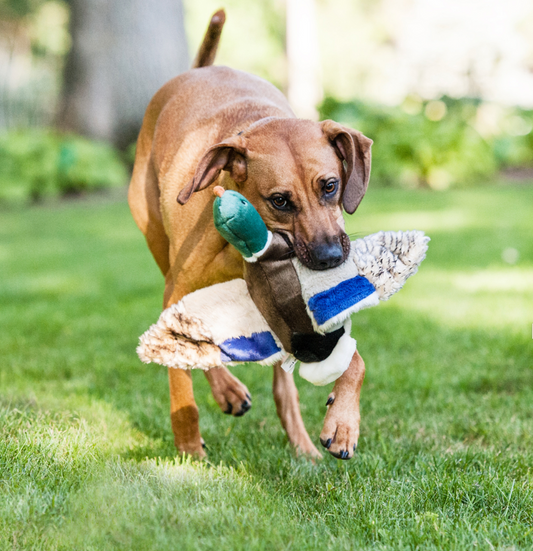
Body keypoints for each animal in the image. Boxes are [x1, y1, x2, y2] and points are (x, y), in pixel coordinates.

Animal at [128, 10, 370, 462]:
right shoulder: (175, 292)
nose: (330, 257)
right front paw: (188, 447)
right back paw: (227, 392)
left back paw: (301, 444)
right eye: (280, 200)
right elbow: (180, 380)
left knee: (282, 387)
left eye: (330, 186)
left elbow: (355, 361)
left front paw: (343, 424)